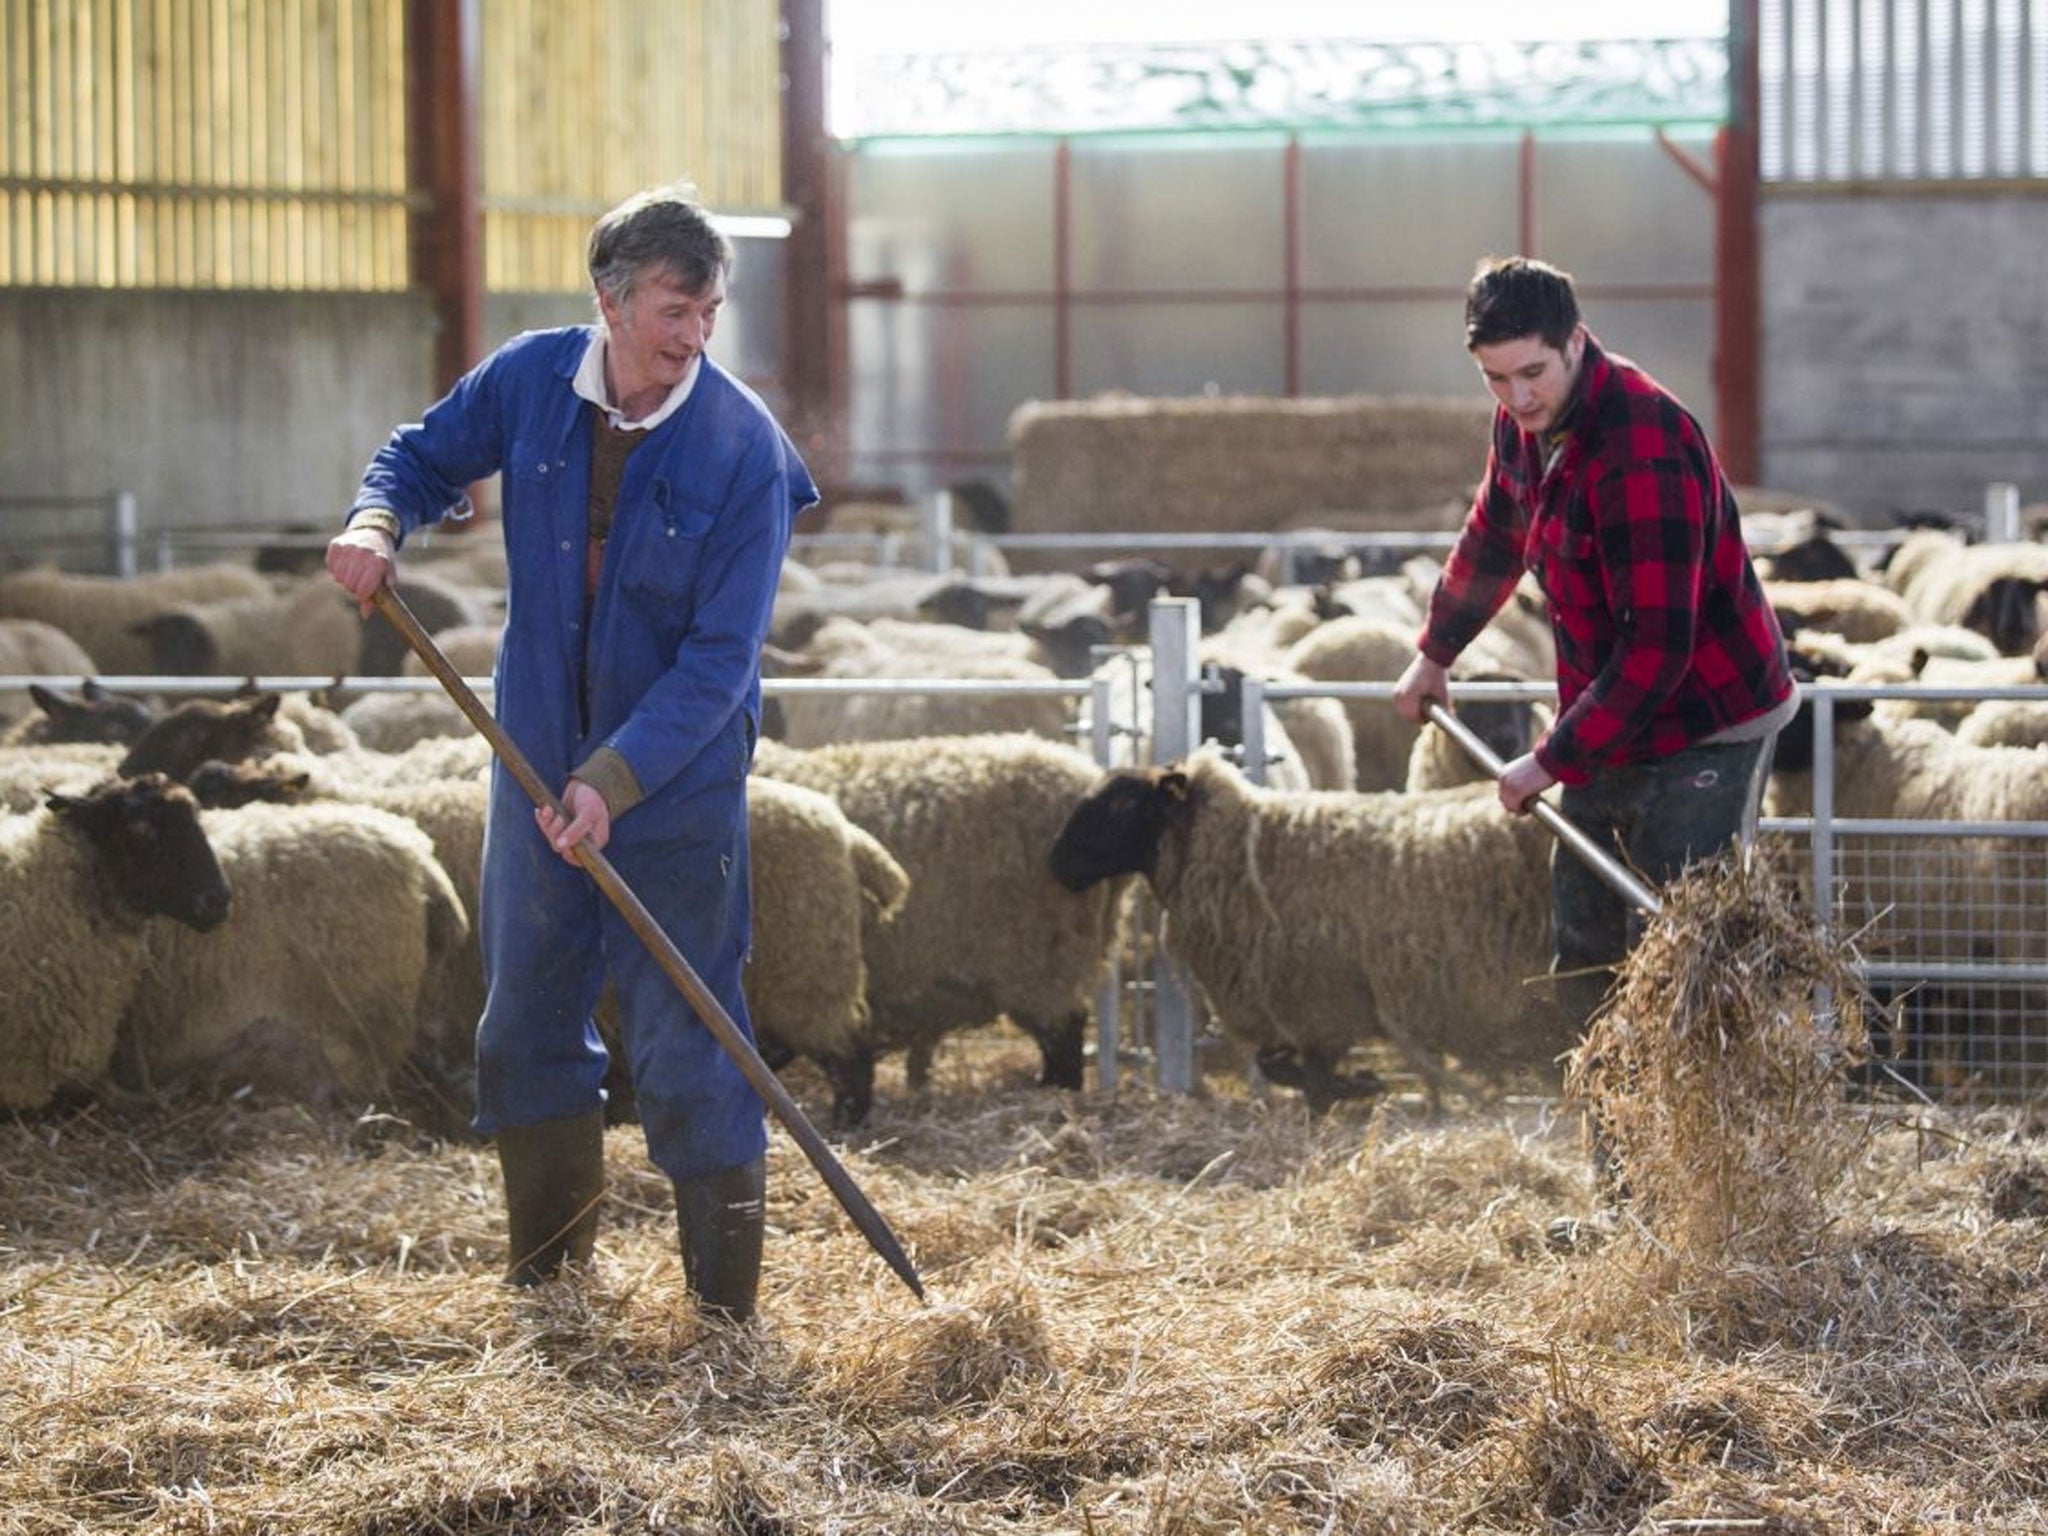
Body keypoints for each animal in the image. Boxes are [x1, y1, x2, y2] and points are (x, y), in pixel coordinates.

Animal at [1048, 753, 1572, 1114]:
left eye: (1123, 804)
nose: (1057, 864)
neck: (1241, 856)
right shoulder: (1309, 1007)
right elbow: (1278, 1067)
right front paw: (1359, 1084)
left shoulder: (1319, 1003)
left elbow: (1309, 1082)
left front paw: (1355, 1088)